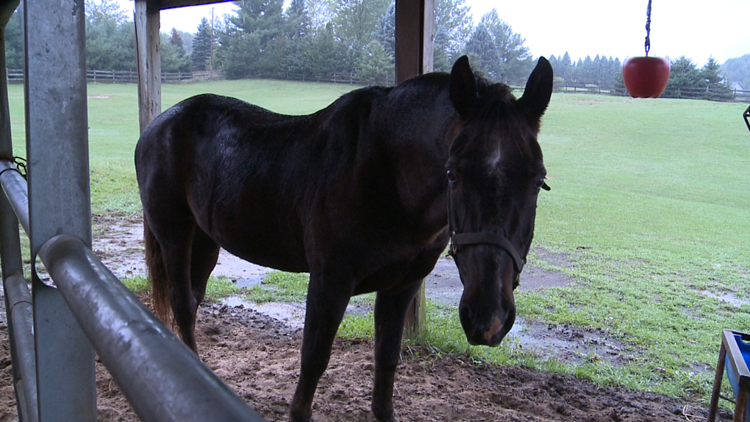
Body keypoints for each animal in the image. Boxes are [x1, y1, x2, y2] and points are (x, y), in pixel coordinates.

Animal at [135, 56, 556, 422]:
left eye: (538, 180)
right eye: (452, 173)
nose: (487, 317)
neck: (387, 176)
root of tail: (157, 126)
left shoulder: (402, 285)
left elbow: (386, 359)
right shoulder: (330, 282)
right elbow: (314, 360)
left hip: (206, 241)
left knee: (193, 299)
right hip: (175, 235)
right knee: (182, 304)